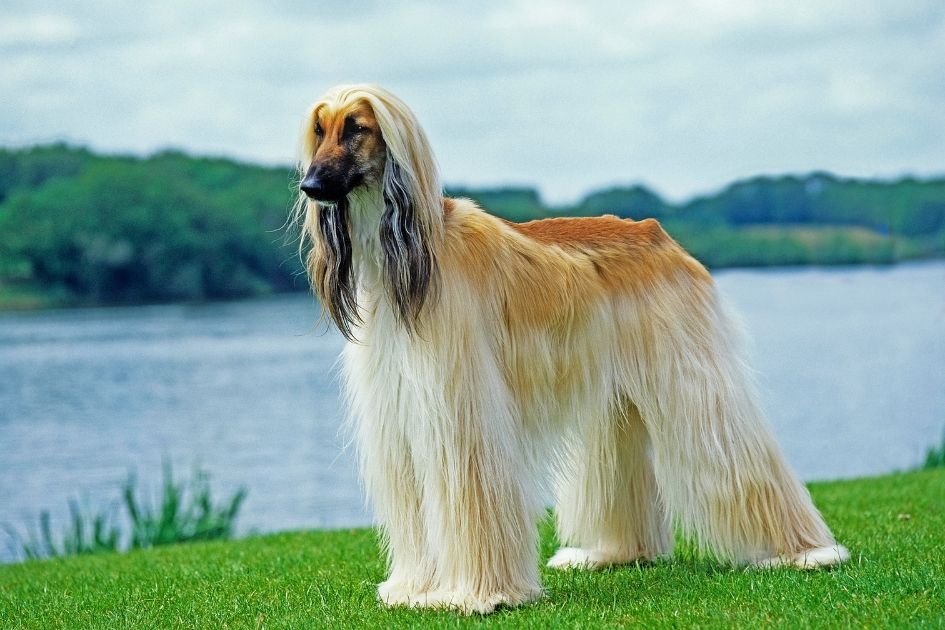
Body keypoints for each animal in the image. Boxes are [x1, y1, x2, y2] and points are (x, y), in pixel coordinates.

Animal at [296, 84, 848, 616]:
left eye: (357, 128)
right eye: (320, 129)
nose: (310, 186)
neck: (406, 259)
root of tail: (659, 233)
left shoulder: (462, 408)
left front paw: (478, 595)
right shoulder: (401, 409)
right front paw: (414, 589)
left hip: (692, 375)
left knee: (737, 447)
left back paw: (809, 552)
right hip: (615, 396)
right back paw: (613, 552)